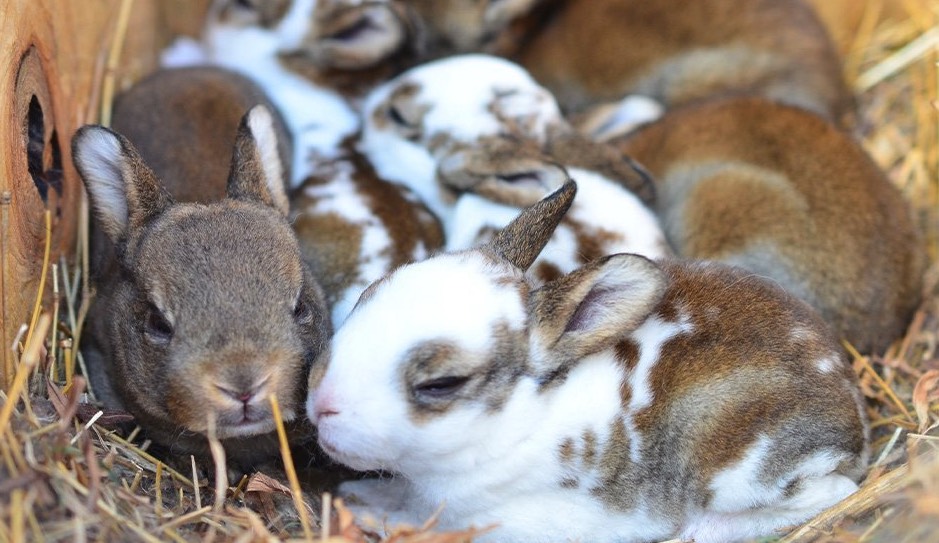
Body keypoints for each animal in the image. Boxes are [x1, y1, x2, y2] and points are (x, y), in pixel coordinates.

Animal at [304, 182, 872, 543]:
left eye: (442, 384)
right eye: (369, 295)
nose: (321, 404)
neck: (519, 420)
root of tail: (854, 416)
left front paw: (368, 511)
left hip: (743, 470)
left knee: (833, 493)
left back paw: (698, 529)